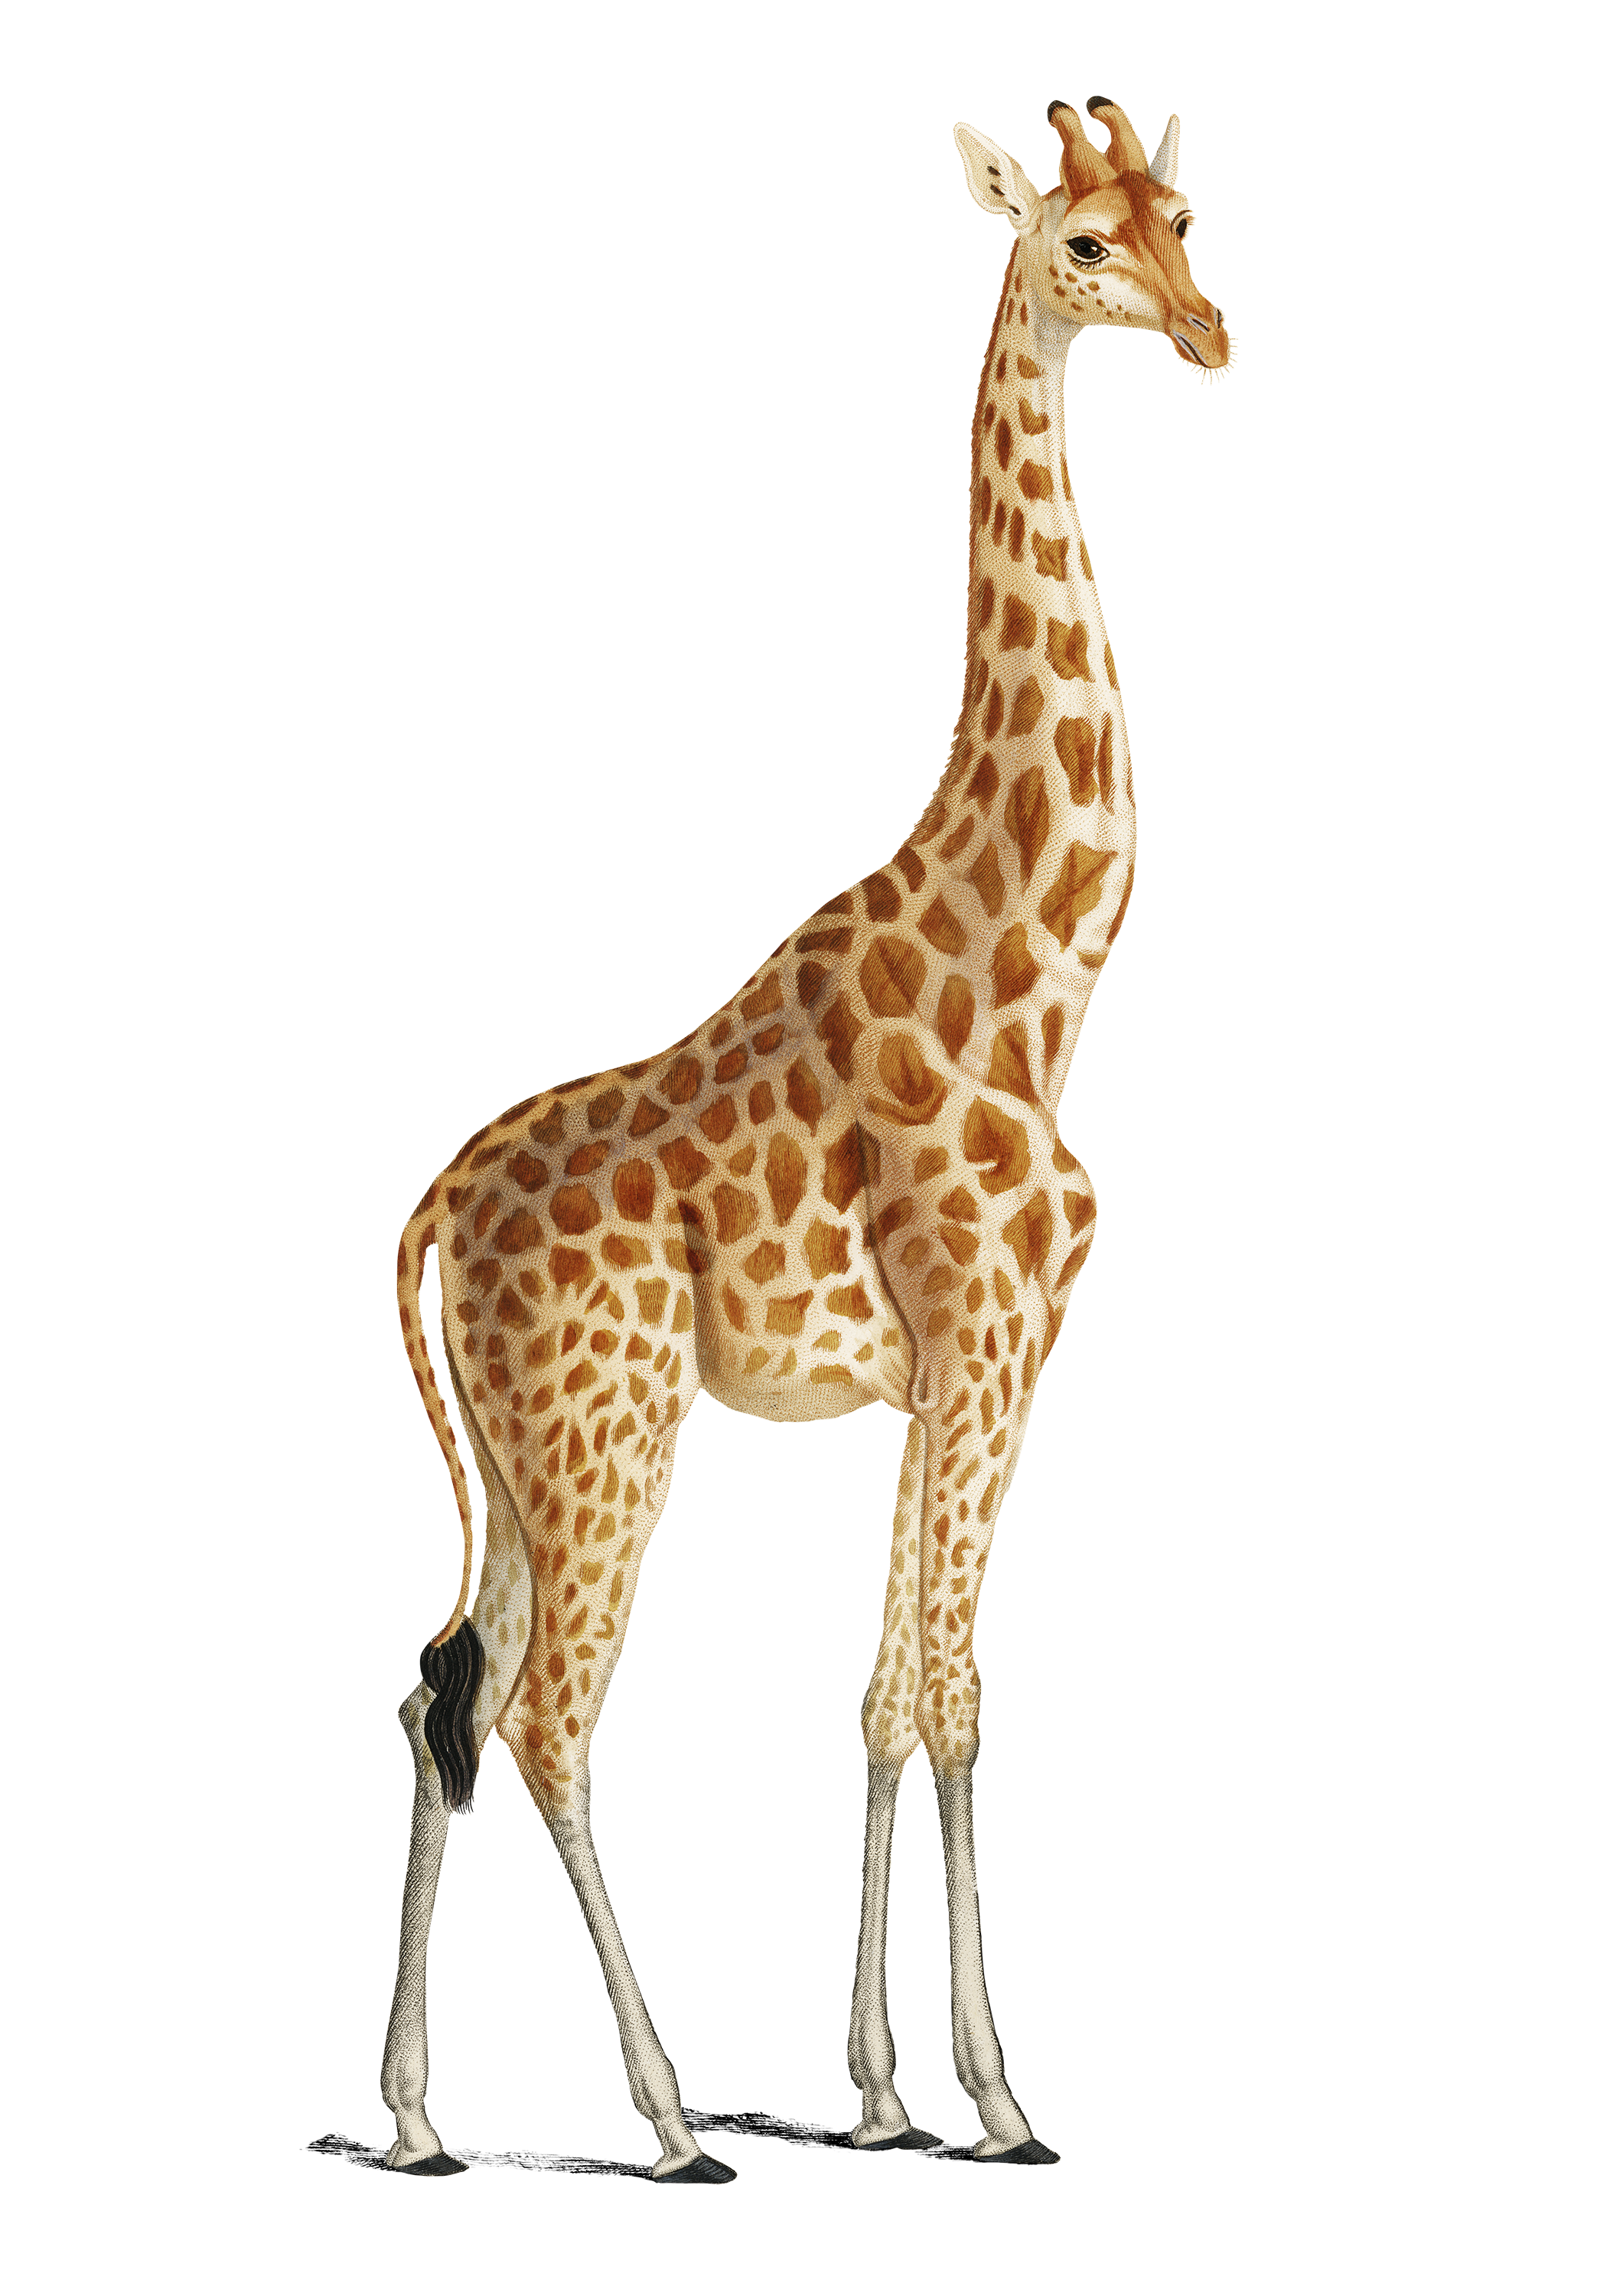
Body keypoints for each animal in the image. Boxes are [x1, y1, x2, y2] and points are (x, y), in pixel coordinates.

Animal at [383, 99, 1230, 2180]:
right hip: (600, 1432)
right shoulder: (982, 1342)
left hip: (506, 1463)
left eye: (1185, 216)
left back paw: (422, 2120)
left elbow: (903, 1702)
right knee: (545, 1714)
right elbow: (936, 1698)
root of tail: (428, 1217)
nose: (1205, 333)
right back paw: (676, 2122)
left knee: (436, 1691)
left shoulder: (953, 1376)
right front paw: (992, 2104)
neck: (1037, 950)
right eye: (1083, 246)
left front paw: (904, 2088)